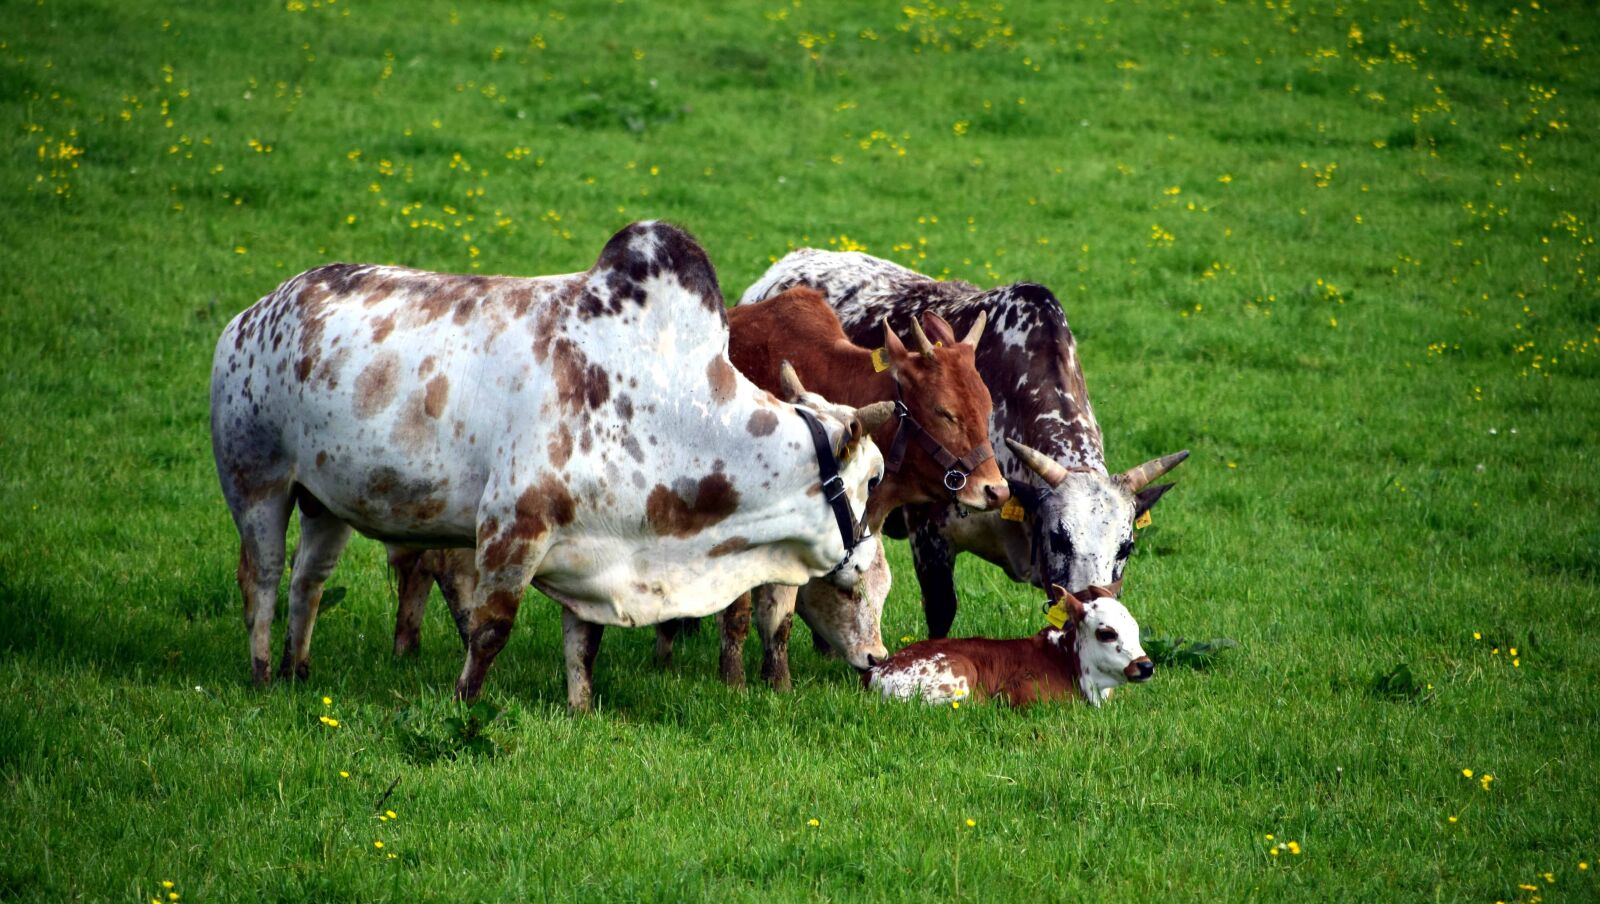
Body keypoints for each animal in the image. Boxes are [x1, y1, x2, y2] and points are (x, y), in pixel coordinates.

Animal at [209, 221, 888, 711]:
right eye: (874, 477)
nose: (879, 656)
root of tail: (251, 315)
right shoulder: (513, 529)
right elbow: (491, 629)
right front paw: (465, 702)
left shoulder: (590, 550)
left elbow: (584, 644)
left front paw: (580, 709)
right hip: (257, 484)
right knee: (262, 578)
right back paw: (263, 675)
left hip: (325, 504)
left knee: (309, 579)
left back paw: (299, 670)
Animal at [864, 584, 1151, 707]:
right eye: (1106, 633)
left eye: (1136, 629)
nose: (1146, 666)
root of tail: (874, 672)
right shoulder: (1020, 694)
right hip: (961, 674)